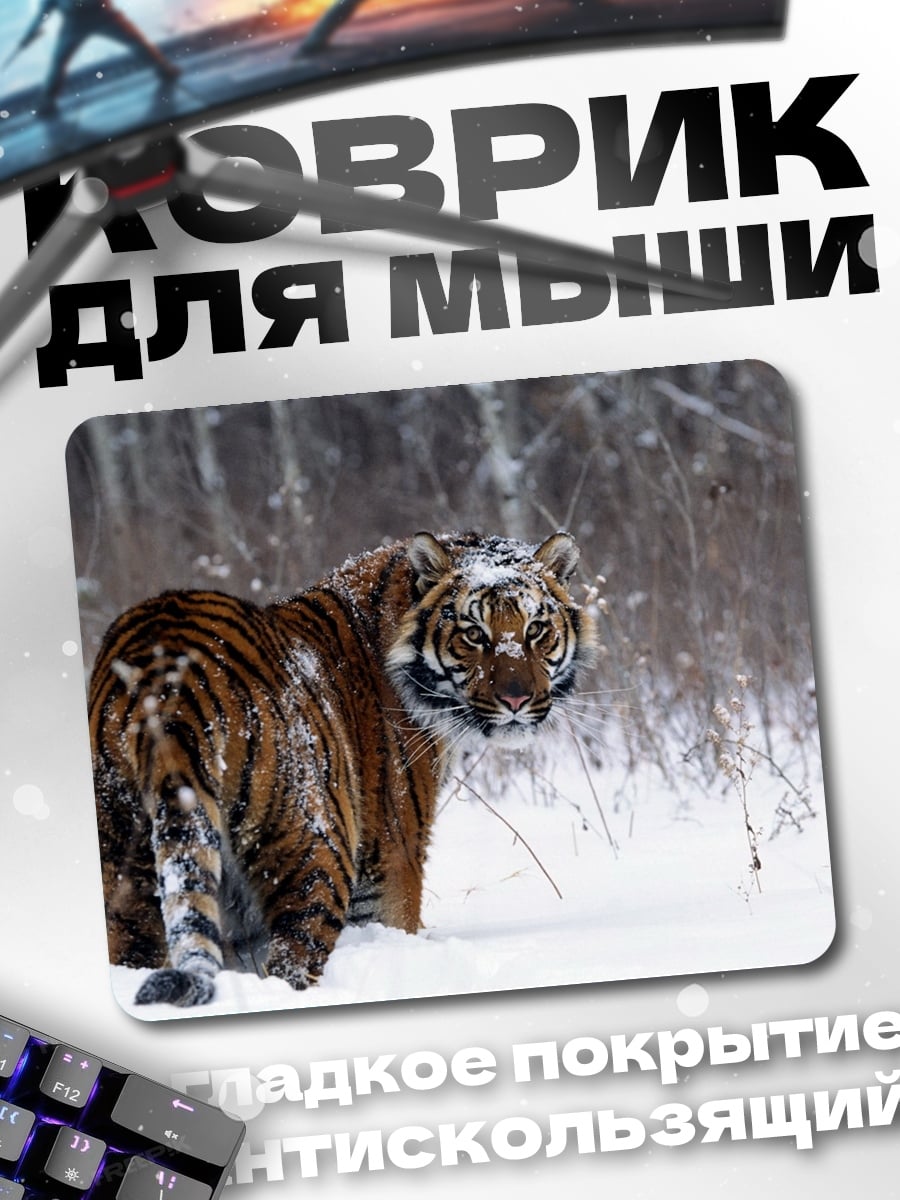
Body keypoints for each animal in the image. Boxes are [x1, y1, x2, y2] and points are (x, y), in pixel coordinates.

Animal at [88, 529, 595, 1007]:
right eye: (474, 633)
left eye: (536, 629)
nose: (516, 699)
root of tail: (168, 684)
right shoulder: (392, 859)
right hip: (314, 852)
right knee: (291, 963)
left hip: (124, 867)